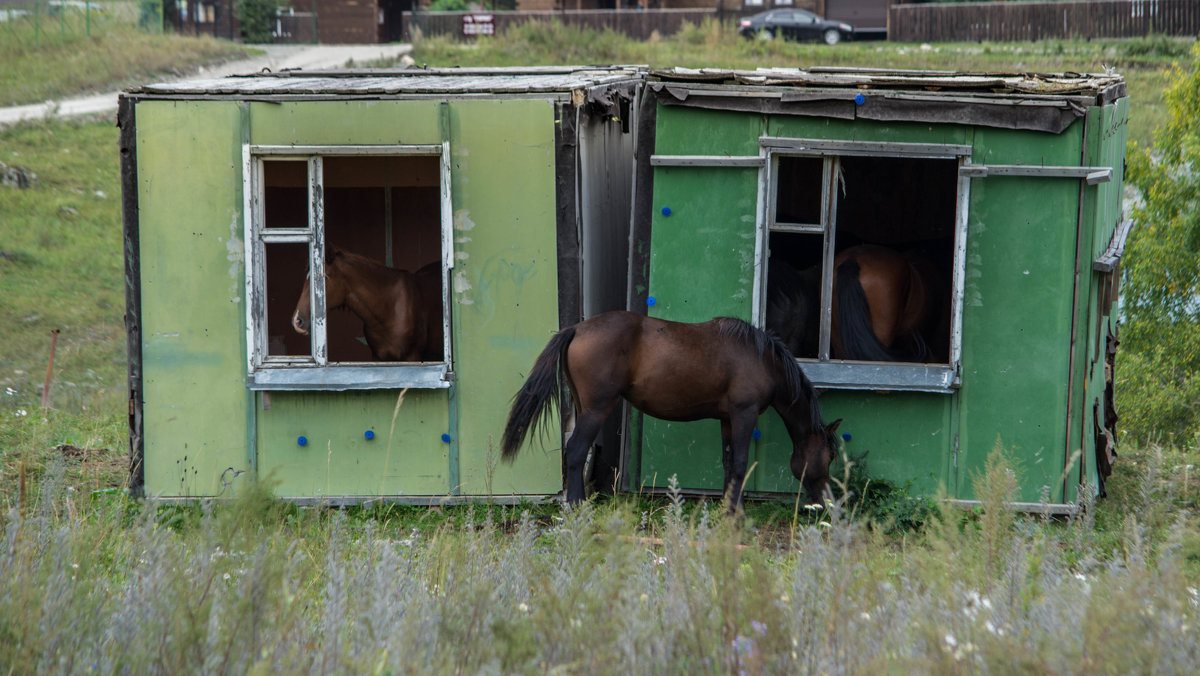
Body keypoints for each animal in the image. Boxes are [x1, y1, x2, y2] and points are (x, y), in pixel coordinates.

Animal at [501, 312, 840, 513]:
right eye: (830, 456)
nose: (830, 502)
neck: (761, 358)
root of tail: (577, 328)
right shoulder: (745, 414)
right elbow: (742, 463)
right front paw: (738, 513)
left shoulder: (727, 419)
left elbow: (729, 463)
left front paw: (728, 508)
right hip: (597, 409)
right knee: (574, 451)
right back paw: (577, 506)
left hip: (585, 407)